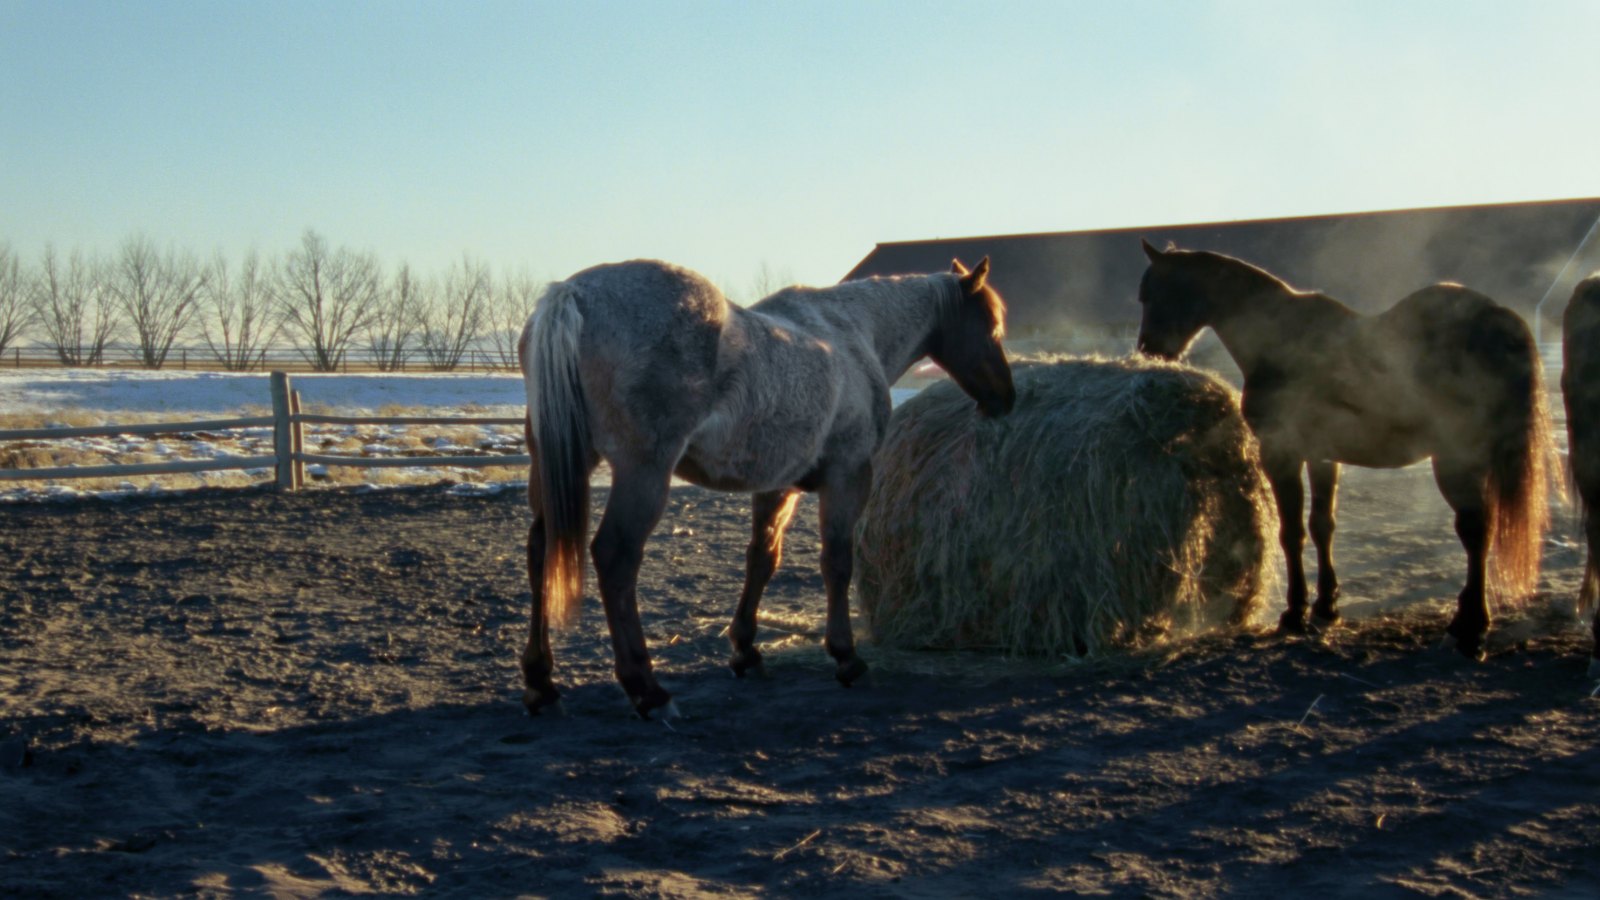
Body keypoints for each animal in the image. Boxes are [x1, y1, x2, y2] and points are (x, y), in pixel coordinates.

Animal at [517, 258, 1015, 717]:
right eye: (991, 327)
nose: (1006, 399)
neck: (852, 334)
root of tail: (573, 294)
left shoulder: (777, 486)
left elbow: (762, 559)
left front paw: (745, 650)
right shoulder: (849, 475)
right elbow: (837, 563)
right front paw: (846, 656)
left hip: (556, 463)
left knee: (541, 549)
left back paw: (542, 682)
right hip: (644, 472)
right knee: (616, 557)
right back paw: (647, 689)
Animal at [1135, 241, 1553, 660]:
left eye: (1156, 293)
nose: (1150, 351)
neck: (1279, 337)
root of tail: (1493, 317)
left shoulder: (1281, 454)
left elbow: (1292, 532)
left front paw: (1294, 614)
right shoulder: (1322, 456)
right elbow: (1322, 526)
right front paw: (1325, 608)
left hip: (1455, 461)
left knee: (1474, 531)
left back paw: (1470, 629)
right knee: (1481, 530)